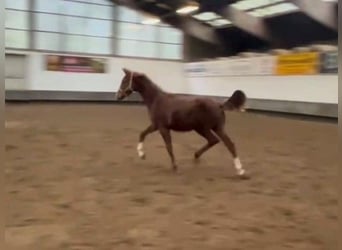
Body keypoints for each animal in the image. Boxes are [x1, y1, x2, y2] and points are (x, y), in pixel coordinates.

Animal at [116, 68, 247, 177]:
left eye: (125, 80)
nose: (118, 96)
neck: (156, 100)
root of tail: (219, 104)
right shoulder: (156, 126)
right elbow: (142, 134)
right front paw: (142, 155)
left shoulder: (163, 128)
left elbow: (169, 146)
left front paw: (175, 167)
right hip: (213, 128)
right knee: (224, 143)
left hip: (204, 128)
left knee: (219, 142)